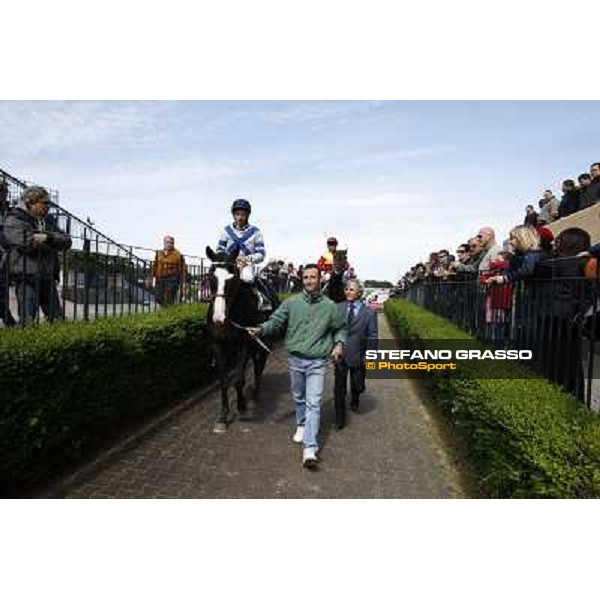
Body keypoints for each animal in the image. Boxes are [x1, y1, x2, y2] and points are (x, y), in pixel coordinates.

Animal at [204, 246, 274, 434]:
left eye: (233, 277)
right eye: (211, 276)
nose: (218, 318)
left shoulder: (244, 344)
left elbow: (239, 379)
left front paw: (241, 407)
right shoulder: (218, 345)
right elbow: (224, 380)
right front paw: (222, 416)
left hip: (262, 342)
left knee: (259, 367)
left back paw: (255, 393)